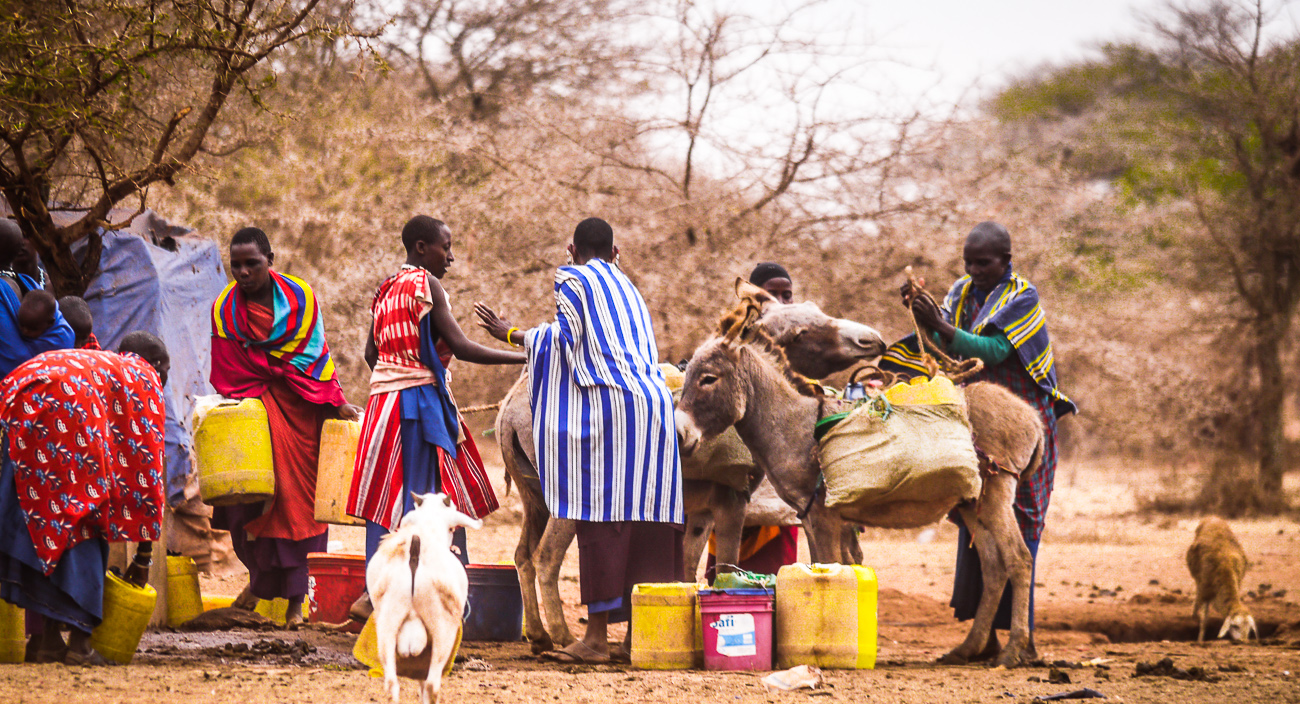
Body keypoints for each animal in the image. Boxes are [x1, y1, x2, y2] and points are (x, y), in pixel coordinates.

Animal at [366, 493, 483, 701]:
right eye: (452, 528)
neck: (427, 527)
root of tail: (416, 548)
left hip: (387, 621)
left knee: (391, 684)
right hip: (442, 629)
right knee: (432, 684)